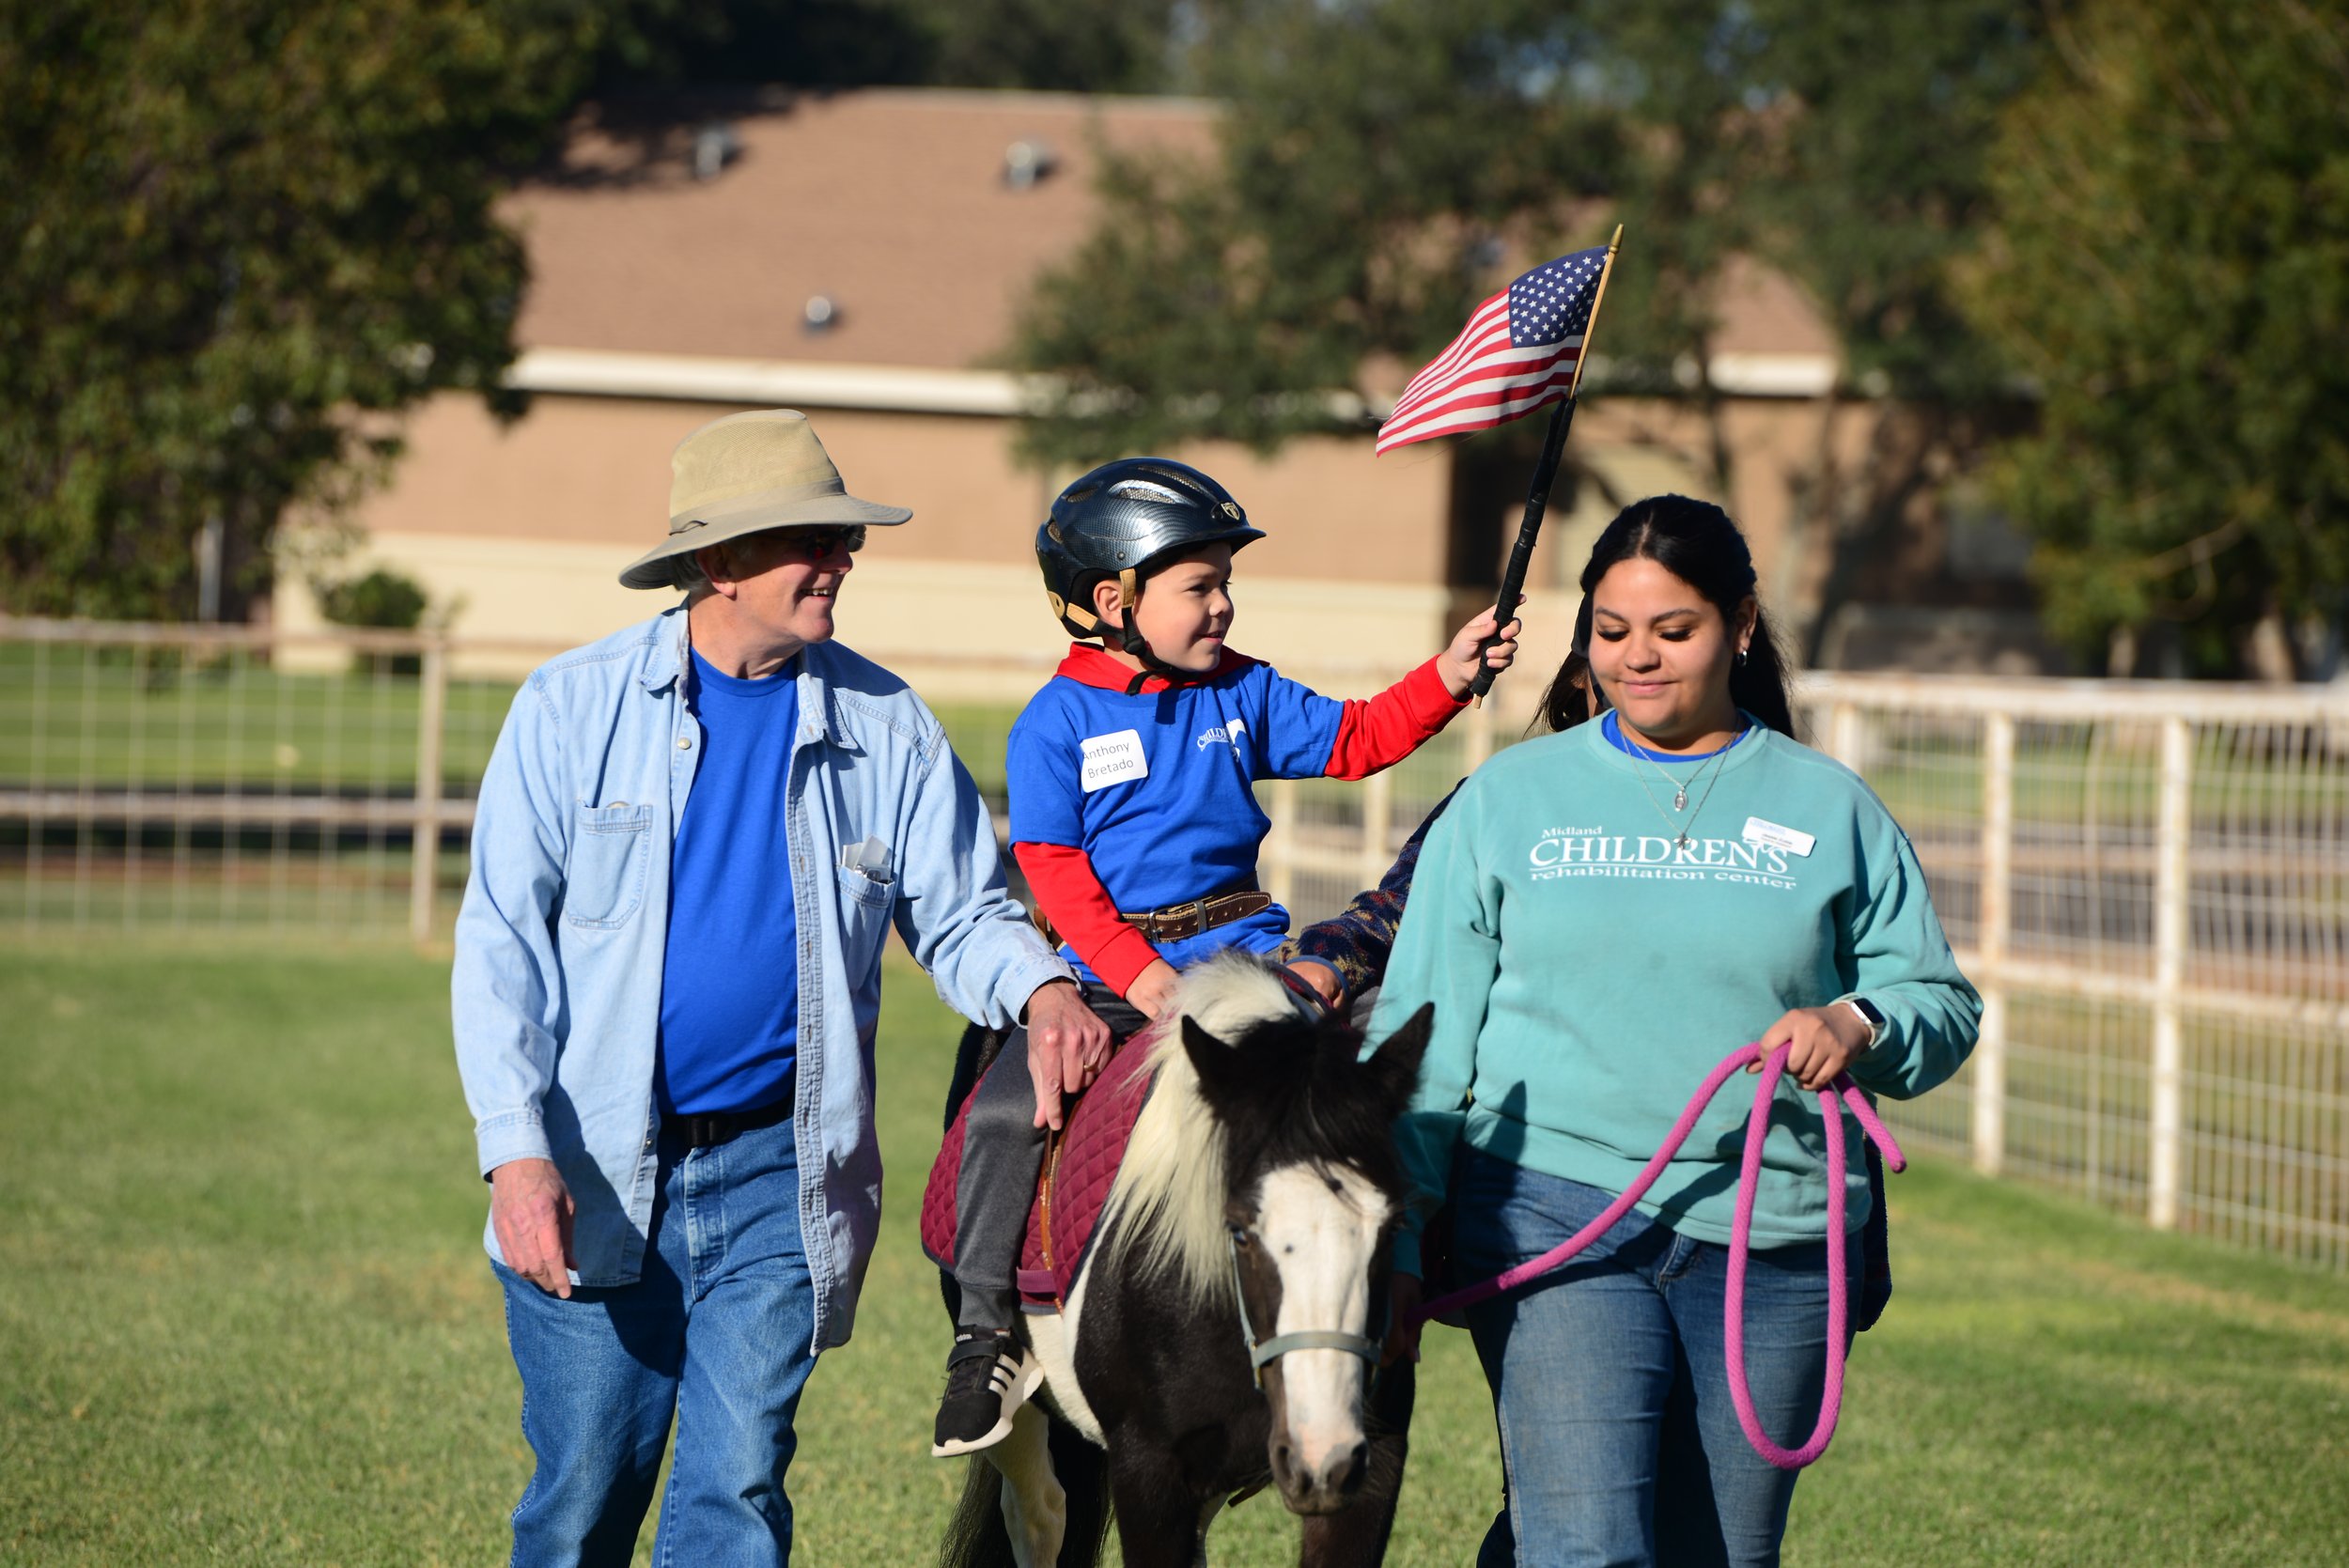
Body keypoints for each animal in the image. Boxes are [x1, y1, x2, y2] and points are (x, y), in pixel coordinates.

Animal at [935, 957, 1428, 1568]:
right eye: (1239, 1231)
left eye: (1392, 1229)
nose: (1322, 1454)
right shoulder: (1148, 1468)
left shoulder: (1372, 1466)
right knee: (1038, 1515)